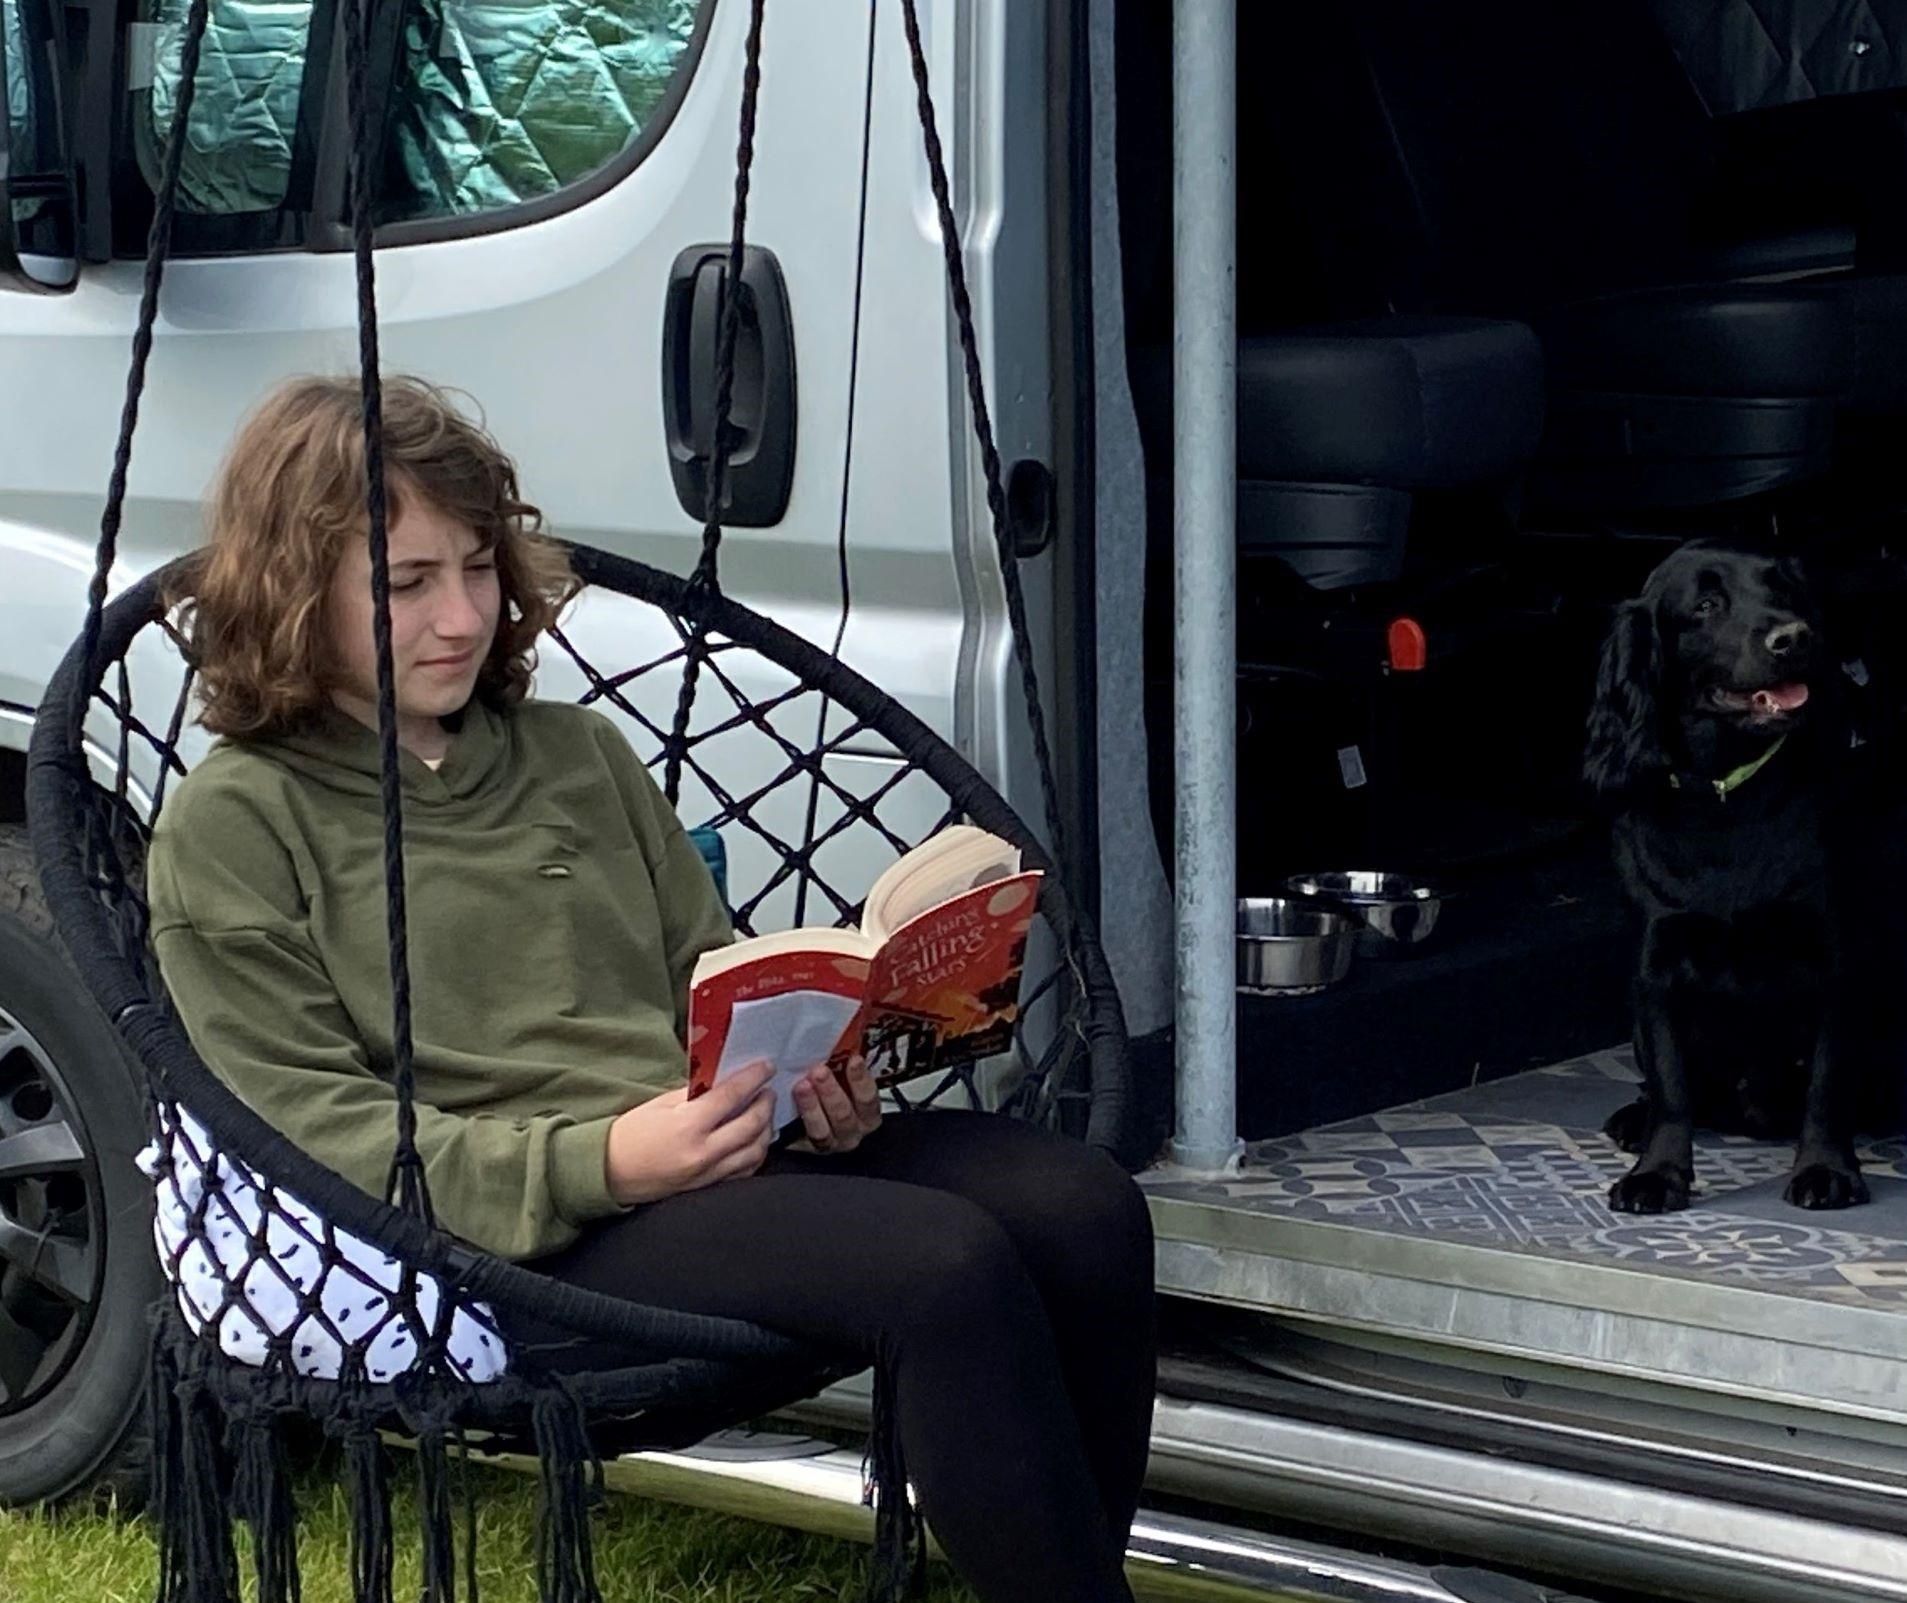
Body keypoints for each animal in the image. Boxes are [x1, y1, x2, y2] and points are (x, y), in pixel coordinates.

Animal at [1586, 541, 1868, 1212]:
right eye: (1707, 605)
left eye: (1783, 591)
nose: (1795, 637)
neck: (1725, 793)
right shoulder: (1656, 963)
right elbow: (1671, 1087)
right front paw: (1658, 1174)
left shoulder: (1833, 953)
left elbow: (1827, 1081)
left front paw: (1825, 1169)